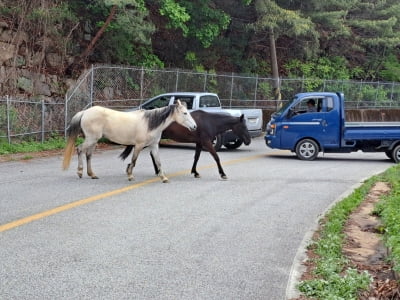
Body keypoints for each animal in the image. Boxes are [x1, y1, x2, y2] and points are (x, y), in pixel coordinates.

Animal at [62, 101, 197, 182]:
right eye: (185, 113)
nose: (195, 127)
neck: (149, 123)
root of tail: (85, 112)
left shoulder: (154, 146)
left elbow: (158, 162)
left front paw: (163, 178)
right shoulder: (138, 146)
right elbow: (134, 160)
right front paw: (130, 175)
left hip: (93, 140)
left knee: (88, 155)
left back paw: (92, 174)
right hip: (91, 139)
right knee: (80, 149)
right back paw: (80, 172)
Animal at [119, 110, 250, 180]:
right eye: (243, 126)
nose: (248, 140)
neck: (210, 122)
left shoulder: (199, 143)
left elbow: (196, 157)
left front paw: (195, 172)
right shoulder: (207, 143)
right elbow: (216, 157)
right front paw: (223, 174)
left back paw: (157, 171)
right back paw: (131, 168)